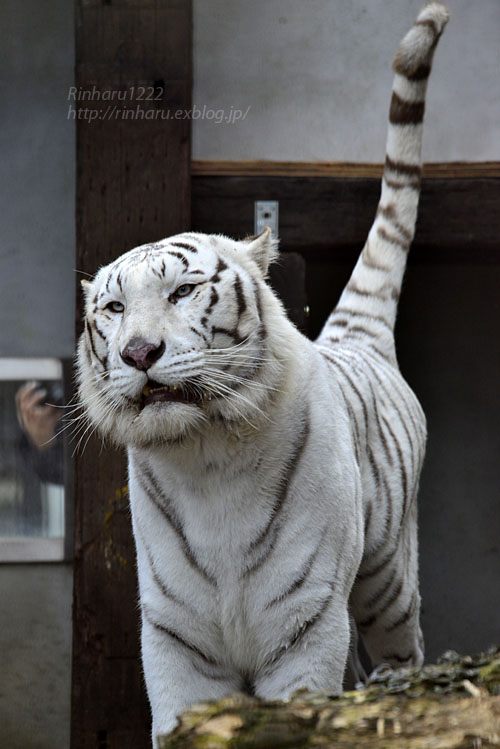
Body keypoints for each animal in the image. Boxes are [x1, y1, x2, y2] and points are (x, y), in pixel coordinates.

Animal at [77, 4, 450, 744]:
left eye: (184, 291)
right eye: (114, 308)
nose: (139, 353)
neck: (204, 456)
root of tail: (352, 335)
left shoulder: (304, 625)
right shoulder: (175, 636)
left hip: (388, 582)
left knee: (402, 655)